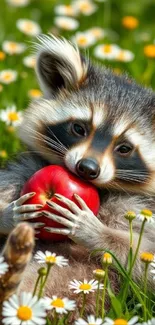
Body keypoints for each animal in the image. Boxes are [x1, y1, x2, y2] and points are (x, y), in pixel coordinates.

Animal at [0, 35, 155, 308]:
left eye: (124, 148)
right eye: (80, 128)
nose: (87, 168)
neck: (100, 189)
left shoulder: (141, 209)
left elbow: (143, 257)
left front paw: (94, 230)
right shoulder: (25, 169)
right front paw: (8, 214)